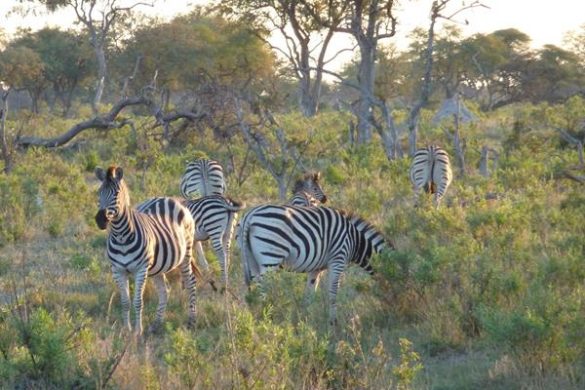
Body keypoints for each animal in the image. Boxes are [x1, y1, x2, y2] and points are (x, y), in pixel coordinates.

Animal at [94, 165, 197, 336]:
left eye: (116, 193)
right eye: (99, 192)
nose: (100, 220)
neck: (120, 236)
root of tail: (167, 198)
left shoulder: (140, 269)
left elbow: (138, 301)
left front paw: (138, 331)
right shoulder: (117, 270)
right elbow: (125, 301)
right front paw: (126, 329)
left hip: (186, 254)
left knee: (191, 283)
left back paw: (191, 321)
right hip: (157, 267)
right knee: (165, 290)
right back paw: (157, 324)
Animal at [235, 206, 390, 324]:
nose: (387, 310)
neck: (355, 240)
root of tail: (249, 215)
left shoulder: (316, 268)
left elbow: (310, 293)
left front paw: (305, 319)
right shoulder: (338, 259)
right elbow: (333, 292)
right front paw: (333, 322)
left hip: (251, 259)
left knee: (256, 289)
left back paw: (258, 317)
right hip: (271, 256)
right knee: (264, 290)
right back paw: (268, 317)